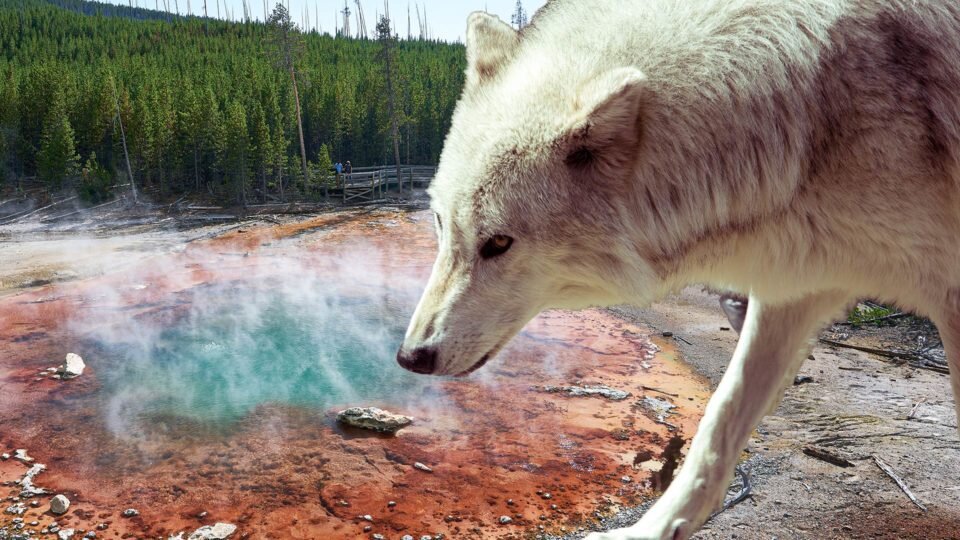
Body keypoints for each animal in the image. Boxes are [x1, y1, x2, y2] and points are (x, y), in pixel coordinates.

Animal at [394, 2, 960, 536]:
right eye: (441, 223)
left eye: (499, 243)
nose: (410, 357)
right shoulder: (795, 281)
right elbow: (720, 417)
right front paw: (653, 528)